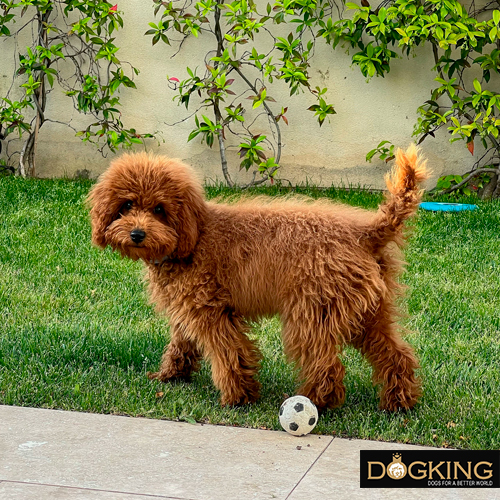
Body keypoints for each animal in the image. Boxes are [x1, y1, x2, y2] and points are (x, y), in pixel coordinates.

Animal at [88, 146, 428, 410]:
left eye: (159, 209)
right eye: (127, 205)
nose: (137, 234)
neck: (195, 236)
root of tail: (365, 232)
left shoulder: (211, 312)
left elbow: (229, 352)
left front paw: (238, 397)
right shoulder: (187, 308)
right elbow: (181, 342)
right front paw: (171, 376)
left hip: (313, 313)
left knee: (327, 365)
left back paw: (315, 401)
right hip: (369, 312)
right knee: (395, 355)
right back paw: (399, 402)